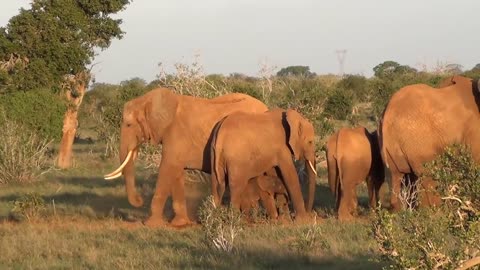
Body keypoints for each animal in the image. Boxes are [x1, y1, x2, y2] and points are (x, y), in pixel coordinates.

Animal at [103, 87, 268, 227]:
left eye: (129, 125)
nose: (139, 200)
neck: (148, 99)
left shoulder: (176, 134)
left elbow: (167, 167)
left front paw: (151, 224)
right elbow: (176, 172)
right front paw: (180, 223)